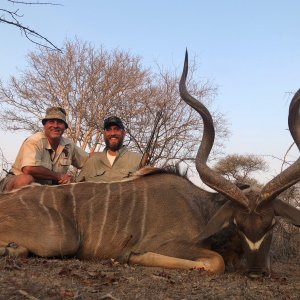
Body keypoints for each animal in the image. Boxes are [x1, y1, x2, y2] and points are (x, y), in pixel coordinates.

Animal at [0, 52, 298, 276]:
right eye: (238, 224)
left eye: (271, 224)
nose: (257, 272)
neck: (201, 209)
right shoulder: (171, 244)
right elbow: (216, 262)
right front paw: (133, 256)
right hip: (63, 239)